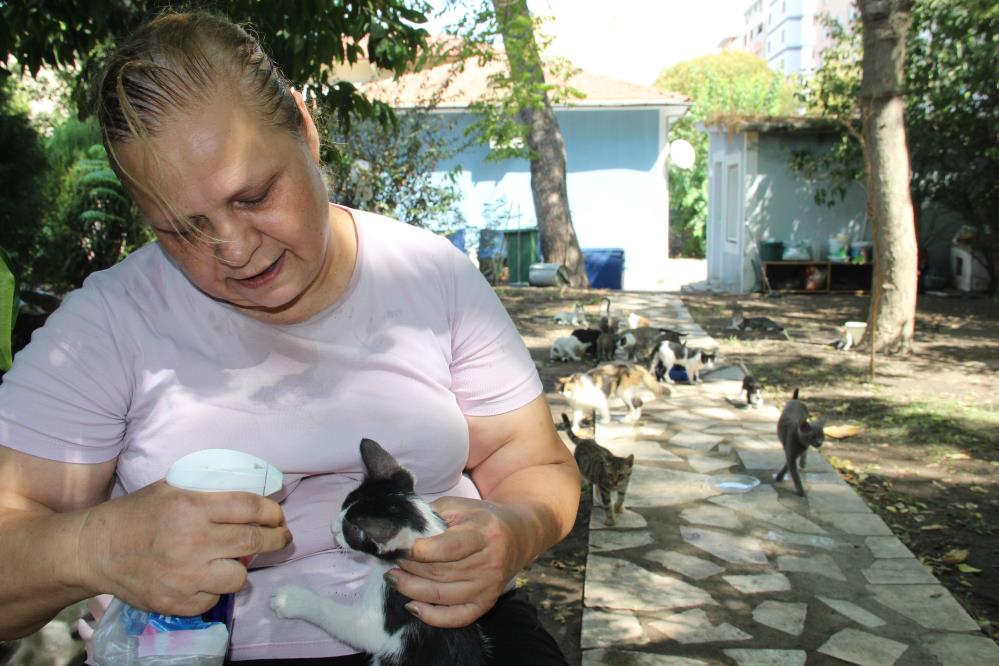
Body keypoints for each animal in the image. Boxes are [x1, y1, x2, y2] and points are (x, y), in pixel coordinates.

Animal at [272, 438, 490, 660]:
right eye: (343, 506)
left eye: (349, 531)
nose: (332, 529)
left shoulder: (388, 612)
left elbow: (347, 621)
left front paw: (291, 600)